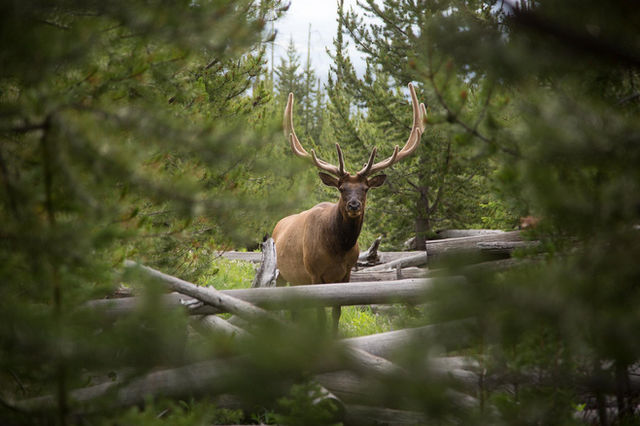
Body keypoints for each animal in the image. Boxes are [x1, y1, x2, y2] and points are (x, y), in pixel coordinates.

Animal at [272, 83, 426, 333]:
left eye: (365, 188)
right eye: (342, 188)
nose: (354, 205)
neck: (337, 249)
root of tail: (278, 225)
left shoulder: (346, 274)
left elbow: (336, 312)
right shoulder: (314, 273)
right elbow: (320, 315)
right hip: (280, 271)